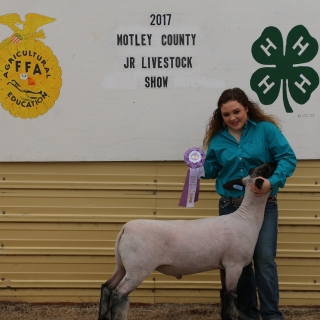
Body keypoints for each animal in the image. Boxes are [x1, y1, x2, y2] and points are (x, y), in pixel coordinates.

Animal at [97, 162, 278, 320]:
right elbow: (231, 296)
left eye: (261, 168)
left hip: (122, 265)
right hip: (138, 268)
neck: (246, 218)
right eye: (266, 170)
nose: (274, 162)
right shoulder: (234, 265)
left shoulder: (223, 265)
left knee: (107, 287)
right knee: (119, 293)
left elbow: (223, 294)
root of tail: (125, 228)